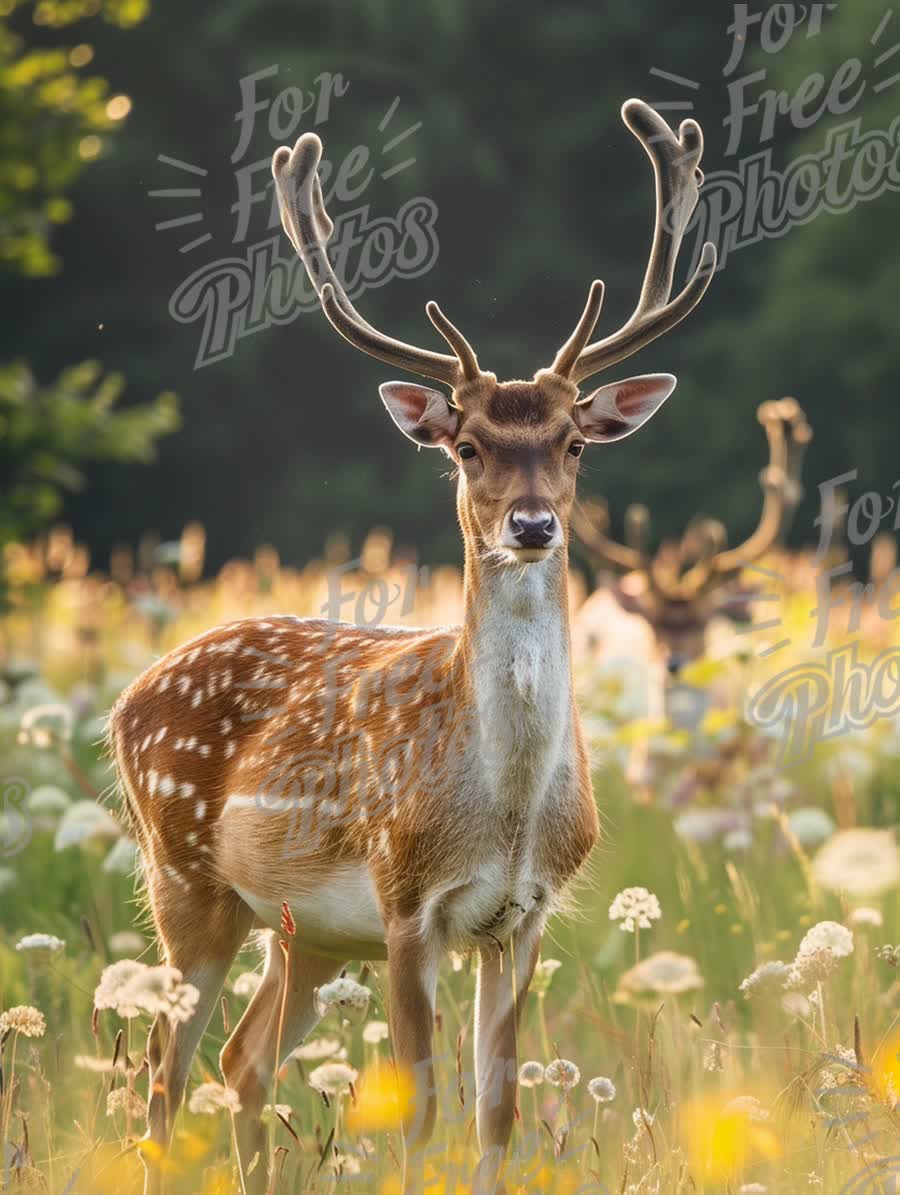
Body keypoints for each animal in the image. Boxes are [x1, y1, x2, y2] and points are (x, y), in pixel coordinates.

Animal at [106, 100, 717, 1195]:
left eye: (574, 442)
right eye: (467, 445)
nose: (531, 524)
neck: (504, 811)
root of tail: (127, 696)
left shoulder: (523, 916)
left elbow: (495, 1114)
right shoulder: (404, 903)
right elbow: (421, 1114)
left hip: (302, 932)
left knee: (242, 1061)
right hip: (184, 881)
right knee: (163, 1077)